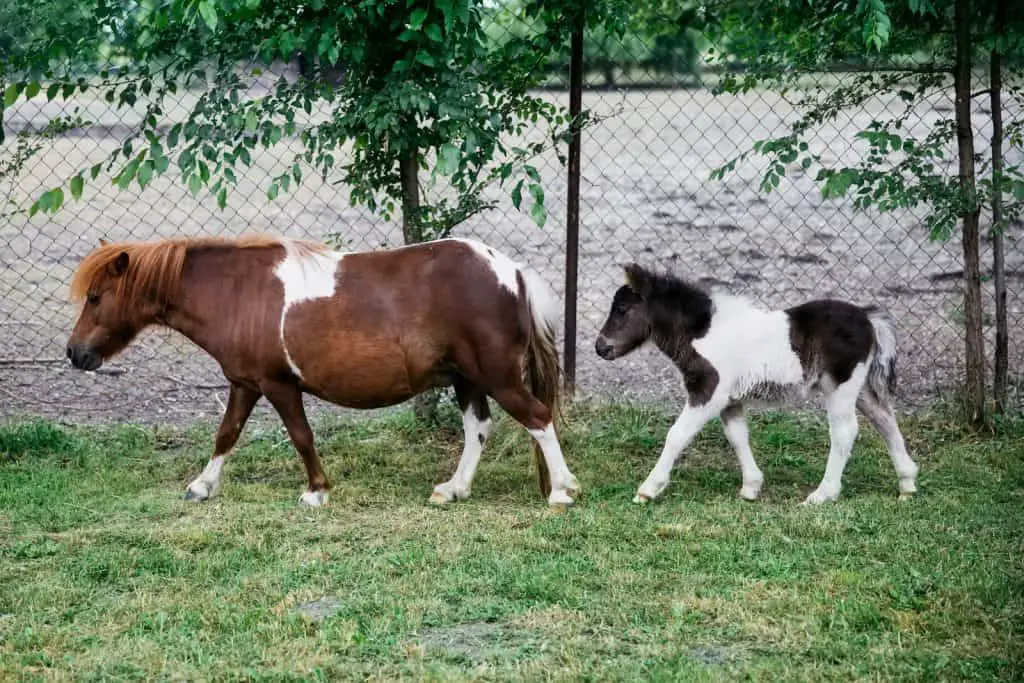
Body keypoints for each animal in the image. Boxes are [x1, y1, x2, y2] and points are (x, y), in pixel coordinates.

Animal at [68, 235, 581, 507]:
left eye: (95, 297)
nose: (75, 354)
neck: (237, 294)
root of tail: (511, 271)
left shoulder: (277, 385)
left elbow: (301, 436)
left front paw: (316, 491)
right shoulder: (244, 384)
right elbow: (226, 434)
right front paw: (201, 485)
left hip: (497, 377)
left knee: (538, 418)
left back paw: (560, 491)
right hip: (467, 379)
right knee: (479, 428)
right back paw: (454, 488)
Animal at [593, 264, 921, 505]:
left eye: (622, 309)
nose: (601, 347)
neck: (703, 332)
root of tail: (868, 317)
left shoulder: (708, 392)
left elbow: (677, 435)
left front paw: (648, 489)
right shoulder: (730, 399)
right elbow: (738, 437)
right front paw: (751, 487)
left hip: (839, 387)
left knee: (845, 432)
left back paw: (822, 494)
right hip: (861, 388)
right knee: (886, 420)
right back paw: (907, 484)